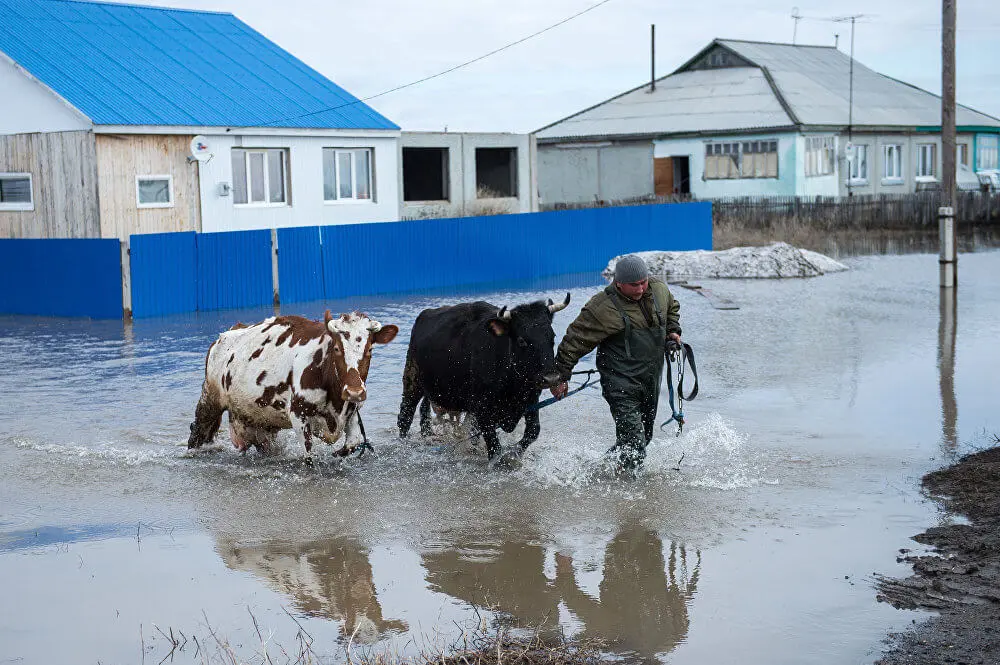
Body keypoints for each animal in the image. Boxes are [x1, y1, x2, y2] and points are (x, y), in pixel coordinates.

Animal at [188, 310, 398, 456]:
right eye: (337, 348)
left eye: (369, 349)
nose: (355, 391)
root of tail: (223, 336)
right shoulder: (298, 414)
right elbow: (309, 457)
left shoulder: (353, 411)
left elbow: (352, 444)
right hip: (209, 402)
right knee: (197, 433)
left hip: (260, 425)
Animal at [396, 294, 572, 464]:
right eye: (522, 340)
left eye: (552, 337)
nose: (551, 378)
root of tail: (425, 314)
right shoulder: (482, 408)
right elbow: (493, 445)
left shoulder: (531, 399)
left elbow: (533, 431)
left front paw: (514, 454)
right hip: (412, 379)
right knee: (405, 415)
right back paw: (403, 445)